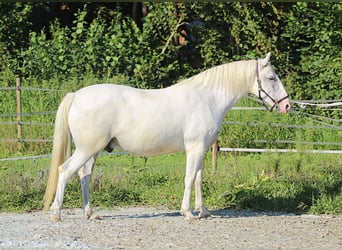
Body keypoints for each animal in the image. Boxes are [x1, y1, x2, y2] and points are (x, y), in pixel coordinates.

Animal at [42, 52, 288, 221]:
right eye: (271, 78)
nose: (286, 105)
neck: (207, 98)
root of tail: (77, 95)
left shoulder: (201, 150)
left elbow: (199, 179)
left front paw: (203, 211)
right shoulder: (194, 149)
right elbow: (189, 179)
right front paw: (187, 213)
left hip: (93, 151)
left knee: (84, 176)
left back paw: (91, 213)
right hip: (86, 149)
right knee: (65, 171)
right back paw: (56, 213)